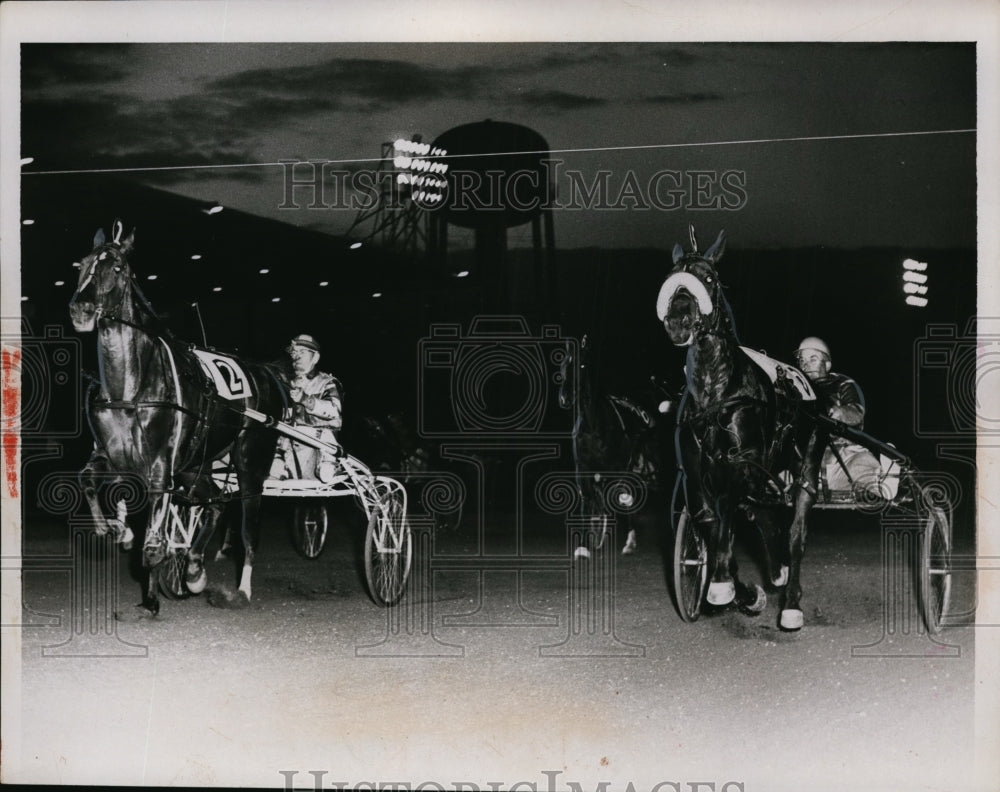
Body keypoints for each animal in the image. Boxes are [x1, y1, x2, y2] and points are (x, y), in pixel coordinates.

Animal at [68, 220, 288, 616]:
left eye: (118, 268)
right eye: (83, 264)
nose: (82, 309)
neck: (130, 389)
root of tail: (265, 372)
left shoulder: (161, 466)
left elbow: (152, 546)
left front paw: (152, 596)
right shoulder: (112, 455)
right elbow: (89, 480)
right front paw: (116, 529)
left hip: (250, 460)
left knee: (248, 526)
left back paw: (241, 589)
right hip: (194, 465)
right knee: (215, 501)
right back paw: (195, 568)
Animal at [560, 334, 668, 556]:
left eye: (582, 365)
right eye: (564, 364)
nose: (565, 398)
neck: (593, 426)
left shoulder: (616, 466)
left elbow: (617, 497)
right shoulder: (584, 468)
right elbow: (588, 501)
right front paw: (584, 545)